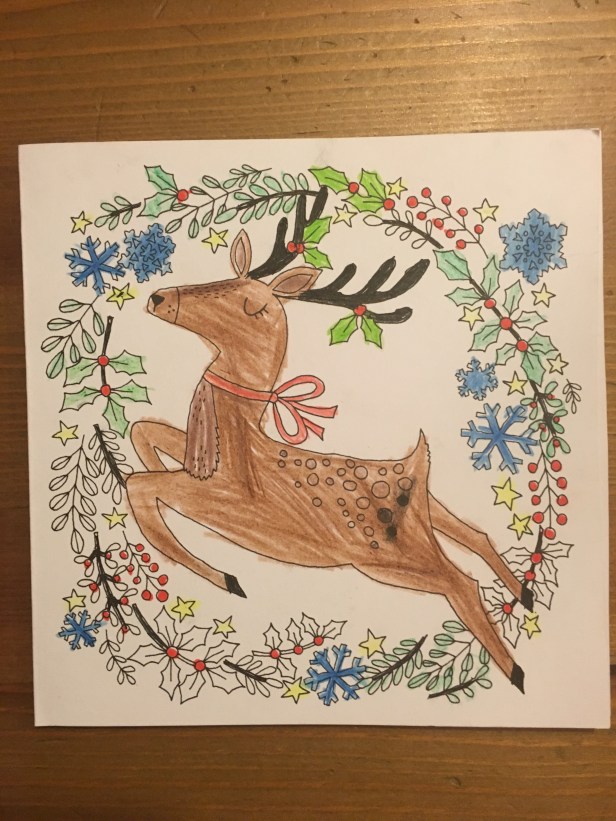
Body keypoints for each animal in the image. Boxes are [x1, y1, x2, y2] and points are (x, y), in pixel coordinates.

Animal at [126, 191, 531, 693]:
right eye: (222, 277)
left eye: (247, 303)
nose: (159, 296)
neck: (242, 454)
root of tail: (416, 467)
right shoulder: (198, 470)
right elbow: (144, 433)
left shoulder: (229, 501)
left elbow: (141, 485)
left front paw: (228, 579)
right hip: (431, 514)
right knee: (475, 533)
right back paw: (525, 596)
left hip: (389, 557)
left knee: (461, 584)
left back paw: (516, 673)